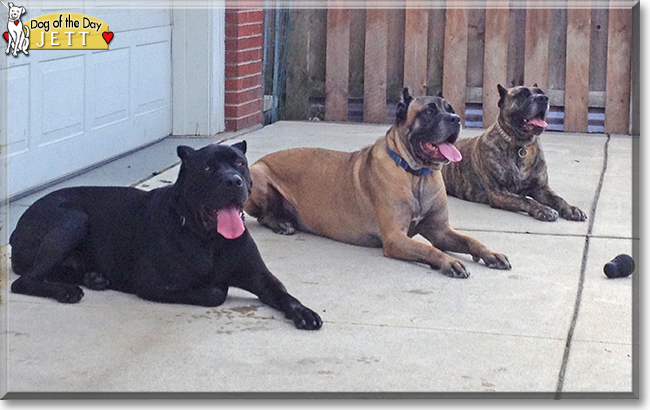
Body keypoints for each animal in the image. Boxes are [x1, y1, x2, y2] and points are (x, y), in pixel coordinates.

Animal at [8, 141, 322, 330]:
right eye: (207, 167)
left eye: (240, 164)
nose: (233, 181)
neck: (210, 239)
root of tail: (15, 229)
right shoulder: (153, 285)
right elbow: (215, 292)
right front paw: (218, 286)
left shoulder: (260, 277)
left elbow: (284, 294)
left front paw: (304, 312)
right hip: (73, 219)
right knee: (24, 280)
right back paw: (67, 290)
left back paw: (92, 278)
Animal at [244, 87, 512, 278]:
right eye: (429, 111)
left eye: (450, 108)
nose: (456, 119)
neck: (417, 175)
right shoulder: (394, 238)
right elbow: (429, 249)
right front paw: (449, 262)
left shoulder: (441, 231)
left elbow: (471, 240)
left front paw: (491, 254)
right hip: (257, 176)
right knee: (263, 215)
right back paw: (282, 223)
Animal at [442, 84, 584, 223]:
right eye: (523, 93)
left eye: (542, 92)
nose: (544, 98)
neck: (520, 145)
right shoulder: (498, 193)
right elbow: (524, 199)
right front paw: (543, 209)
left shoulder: (540, 188)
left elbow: (558, 198)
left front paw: (571, 209)